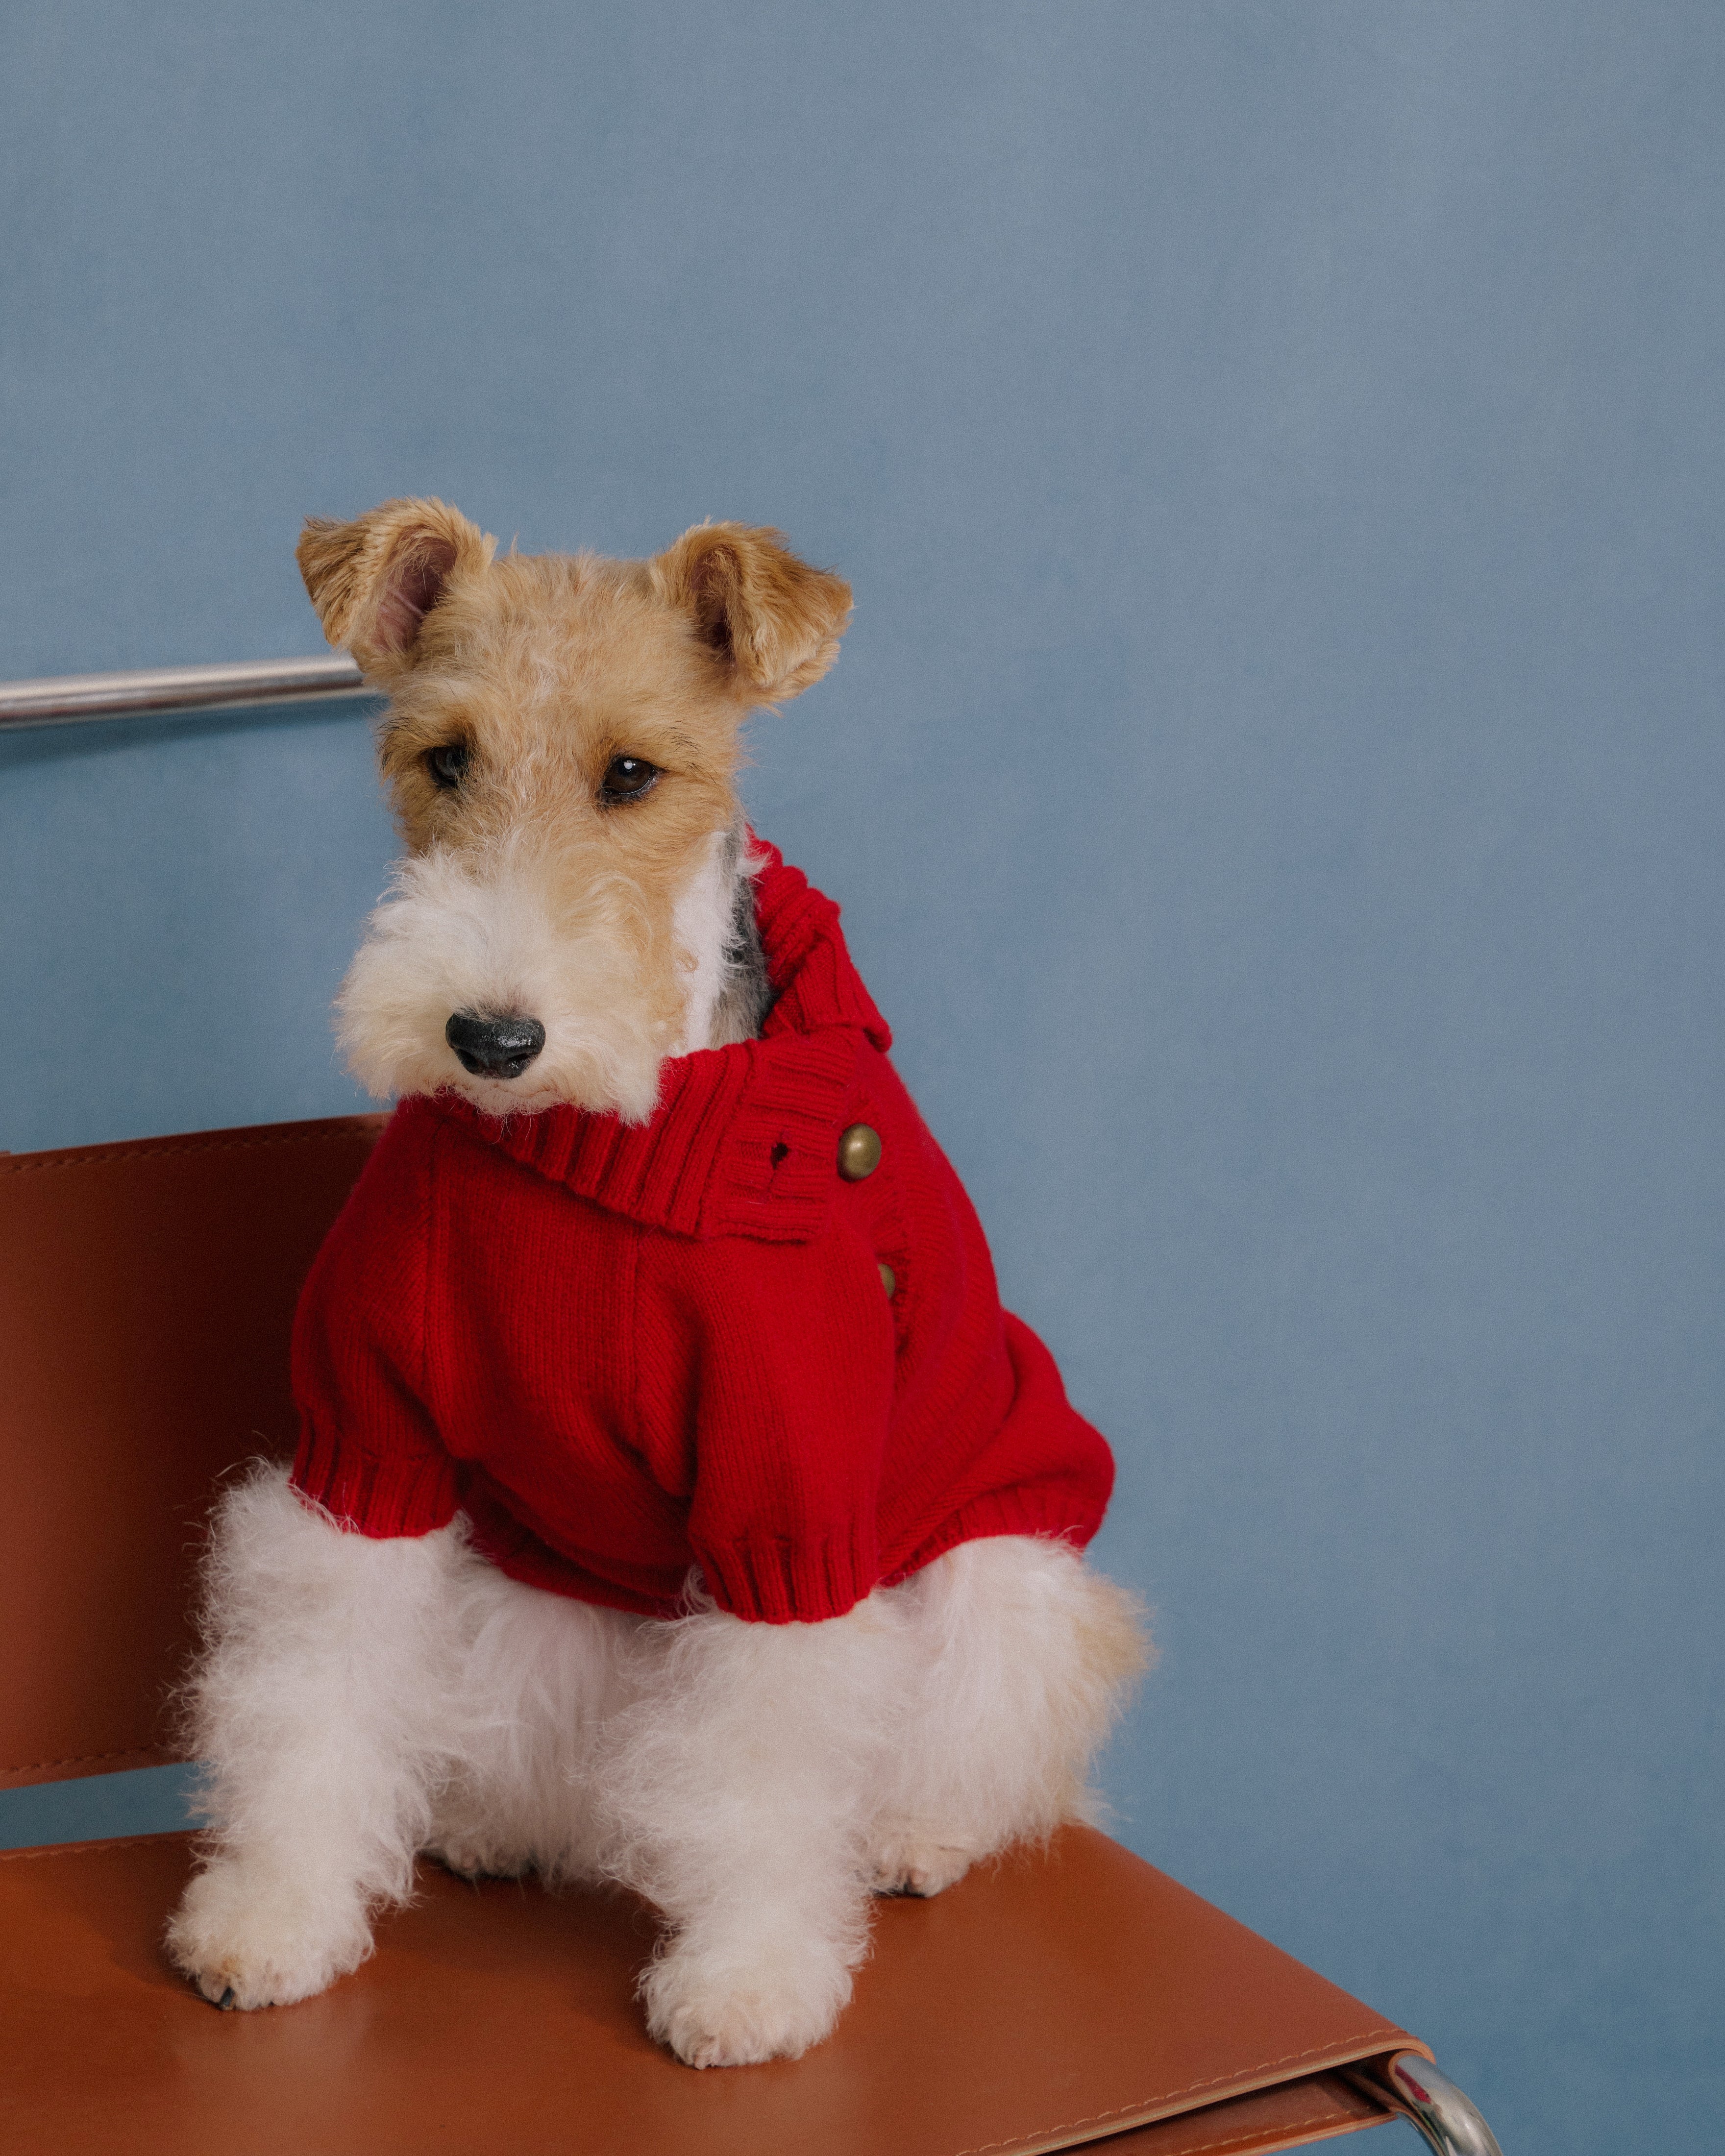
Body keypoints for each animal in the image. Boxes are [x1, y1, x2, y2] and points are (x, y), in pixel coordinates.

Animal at [165, 496, 1147, 2061]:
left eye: (633, 773)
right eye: (445, 757)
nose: (493, 1037)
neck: (601, 1151)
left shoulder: (787, 1507)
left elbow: (767, 1757)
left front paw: (746, 1983)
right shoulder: (368, 1449)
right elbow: (310, 1689)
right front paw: (269, 1917)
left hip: (1000, 1577)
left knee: (985, 1750)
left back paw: (912, 1836)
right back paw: (506, 1824)